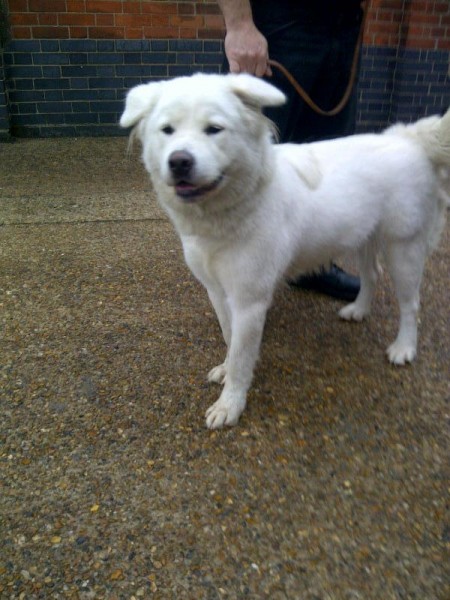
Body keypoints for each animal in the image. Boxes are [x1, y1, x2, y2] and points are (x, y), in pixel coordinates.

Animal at [118, 74, 446, 426]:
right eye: (167, 130)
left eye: (214, 129)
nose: (179, 161)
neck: (240, 204)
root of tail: (408, 137)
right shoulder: (217, 291)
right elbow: (229, 338)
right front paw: (226, 372)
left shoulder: (249, 301)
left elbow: (241, 356)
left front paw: (230, 403)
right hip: (361, 237)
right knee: (371, 275)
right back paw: (359, 310)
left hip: (404, 248)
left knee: (410, 304)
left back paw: (404, 347)